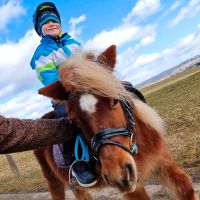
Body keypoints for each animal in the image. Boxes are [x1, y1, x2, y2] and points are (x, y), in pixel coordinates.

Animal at [34, 45, 198, 200]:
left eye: (114, 100)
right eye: (74, 121)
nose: (118, 175)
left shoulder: (166, 164)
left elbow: (187, 189)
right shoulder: (134, 188)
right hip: (54, 181)